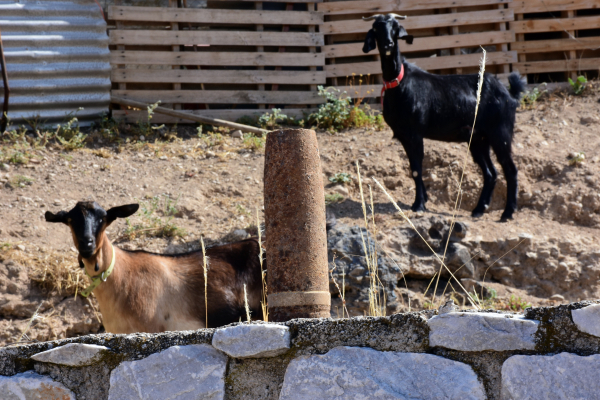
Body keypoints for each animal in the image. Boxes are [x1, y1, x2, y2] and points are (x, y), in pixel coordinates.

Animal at [364, 14, 524, 220]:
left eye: (395, 27)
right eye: (376, 28)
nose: (388, 44)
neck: (399, 83)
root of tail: (510, 94)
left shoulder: (415, 134)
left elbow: (417, 169)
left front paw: (419, 204)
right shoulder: (404, 136)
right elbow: (413, 168)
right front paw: (423, 200)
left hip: (500, 133)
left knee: (510, 170)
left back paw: (507, 212)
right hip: (478, 139)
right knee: (491, 172)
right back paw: (479, 209)